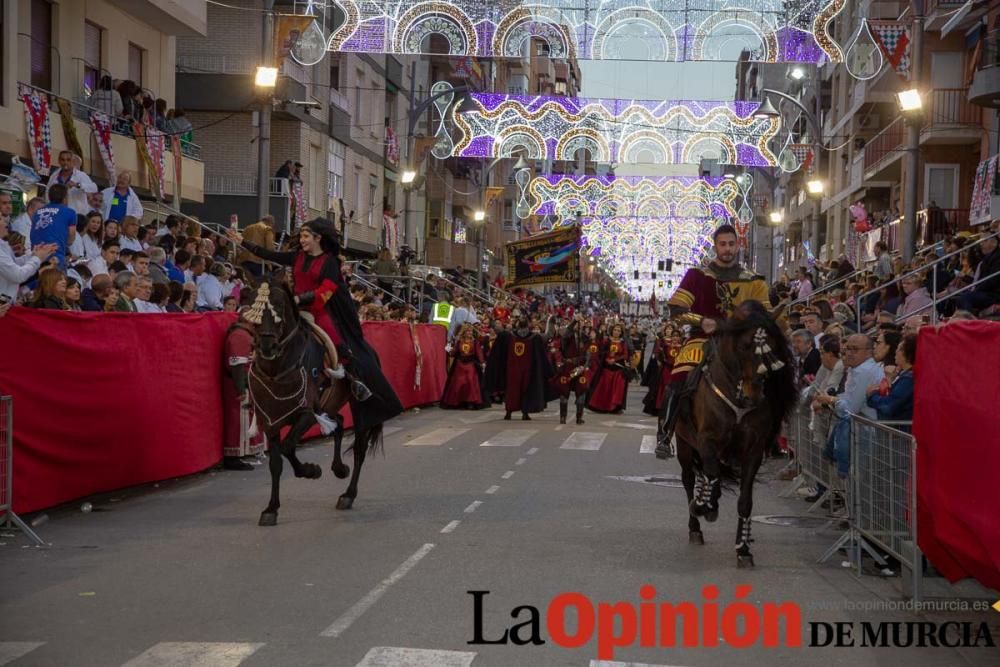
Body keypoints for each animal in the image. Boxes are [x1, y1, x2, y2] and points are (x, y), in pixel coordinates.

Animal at [245, 276, 378, 528]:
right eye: (251, 307)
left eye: (280, 308)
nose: (267, 347)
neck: (278, 369)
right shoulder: (271, 421)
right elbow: (275, 463)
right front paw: (271, 509)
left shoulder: (306, 414)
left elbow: (287, 447)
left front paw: (310, 470)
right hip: (328, 406)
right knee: (338, 423)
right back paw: (339, 468)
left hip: (357, 407)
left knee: (359, 449)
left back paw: (348, 494)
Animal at [672, 302, 796, 568]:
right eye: (744, 345)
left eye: (771, 346)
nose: (753, 395)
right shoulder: (706, 441)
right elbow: (709, 475)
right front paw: (702, 505)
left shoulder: (753, 452)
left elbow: (745, 501)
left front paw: (744, 549)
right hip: (684, 443)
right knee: (689, 479)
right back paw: (696, 524)